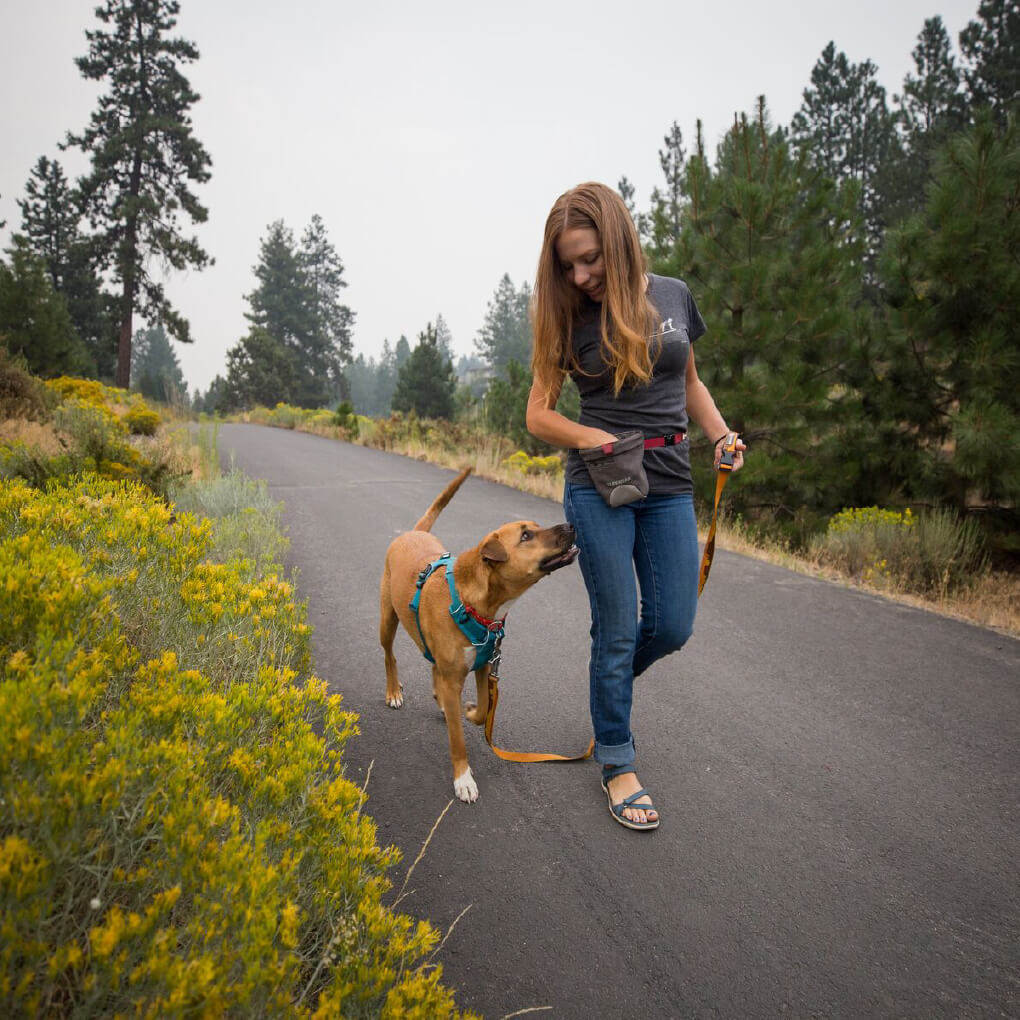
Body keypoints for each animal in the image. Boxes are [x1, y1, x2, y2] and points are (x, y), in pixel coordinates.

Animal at [379, 465, 579, 803]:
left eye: (536, 527)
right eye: (526, 535)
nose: (571, 525)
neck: (476, 604)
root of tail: (413, 532)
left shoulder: (485, 664)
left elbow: (485, 710)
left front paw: (469, 710)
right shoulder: (459, 674)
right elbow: (457, 740)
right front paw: (463, 778)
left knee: (433, 668)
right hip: (387, 620)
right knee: (389, 655)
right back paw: (394, 690)